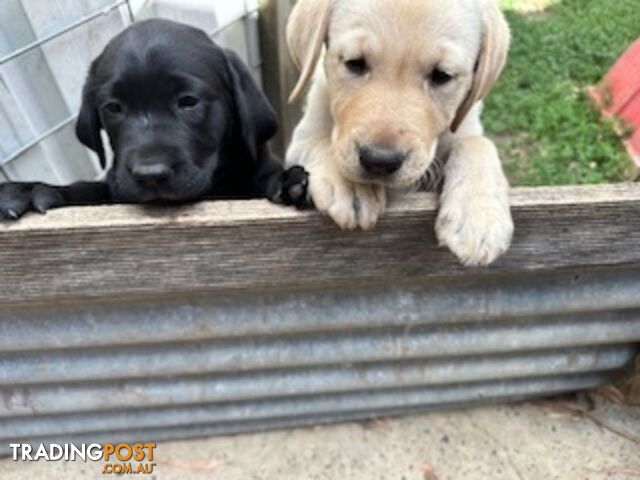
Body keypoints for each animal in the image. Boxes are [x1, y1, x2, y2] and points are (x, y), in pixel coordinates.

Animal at [0, 19, 308, 219]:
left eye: (188, 102)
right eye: (113, 107)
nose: (150, 175)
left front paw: (288, 181)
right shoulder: (115, 188)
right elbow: (89, 189)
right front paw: (29, 191)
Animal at [288, 0, 512, 266]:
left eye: (442, 75)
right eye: (354, 63)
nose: (379, 161)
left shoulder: (464, 127)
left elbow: (477, 143)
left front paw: (479, 216)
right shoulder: (302, 138)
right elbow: (321, 142)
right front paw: (350, 185)